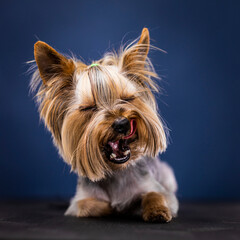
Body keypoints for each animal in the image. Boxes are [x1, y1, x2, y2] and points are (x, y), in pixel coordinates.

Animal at [30, 28, 178, 223]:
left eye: (127, 98)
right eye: (89, 107)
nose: (122, 123)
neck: (116, 171)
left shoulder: (159, 191)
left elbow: (154, 195)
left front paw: (155, 210)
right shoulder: (79, 201)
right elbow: (89, 206)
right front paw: (115, 208)